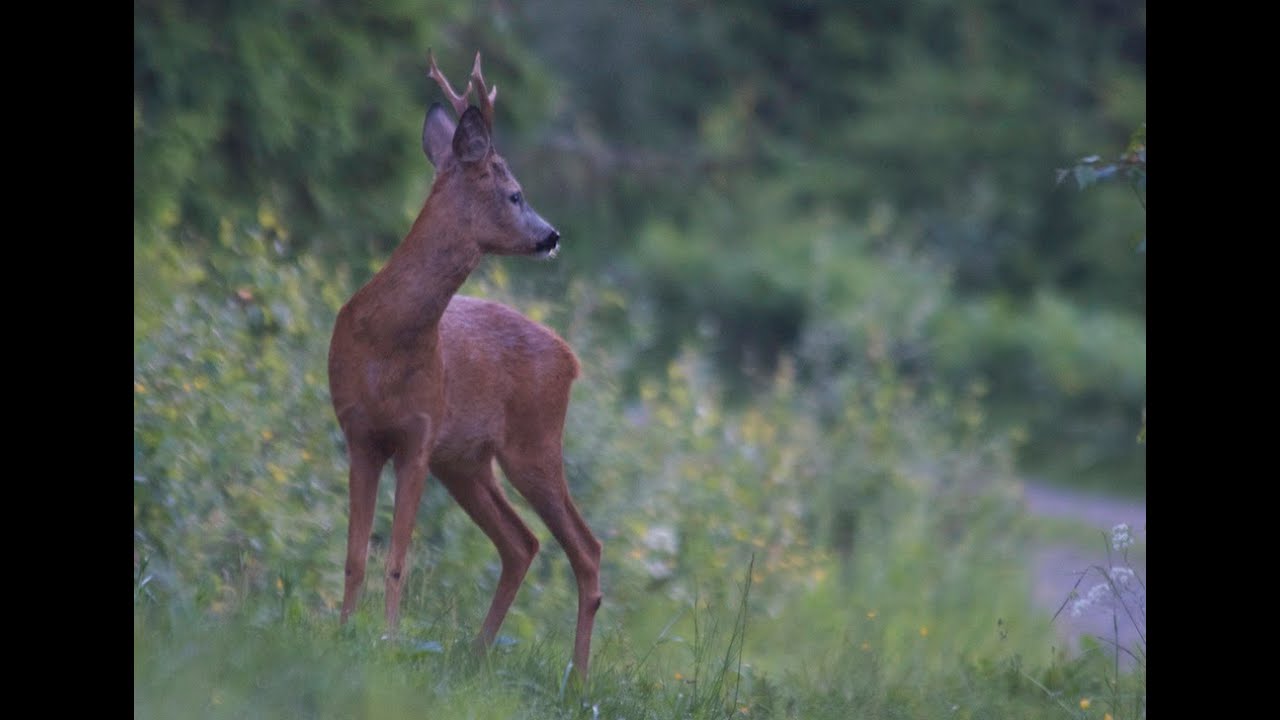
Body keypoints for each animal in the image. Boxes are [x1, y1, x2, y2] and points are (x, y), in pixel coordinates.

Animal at [326, 50, 602, 681]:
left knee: (585, 547)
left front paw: (387, 640)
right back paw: (475, 654)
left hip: (532, 443)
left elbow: (397, 557)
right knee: (522, 542)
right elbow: (355, 553)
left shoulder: (420, 432)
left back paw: (577, 679)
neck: (386, 340)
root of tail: (570, 357)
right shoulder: (361, 433)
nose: (553, 235)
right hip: (468, 462)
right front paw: (343, 630)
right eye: (515, 194)